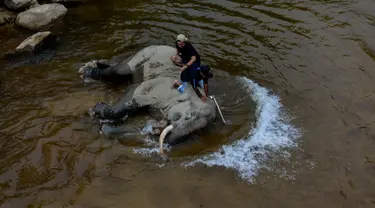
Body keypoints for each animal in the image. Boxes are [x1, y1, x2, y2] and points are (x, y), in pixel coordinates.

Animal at [80, 44, 220, 154]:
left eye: (199, 130)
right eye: (189, 116)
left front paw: (105, 129)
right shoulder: (162, 88)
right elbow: (133, 91)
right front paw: (98, 109)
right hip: (144, 55)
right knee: (119, 71)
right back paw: (88, 71)